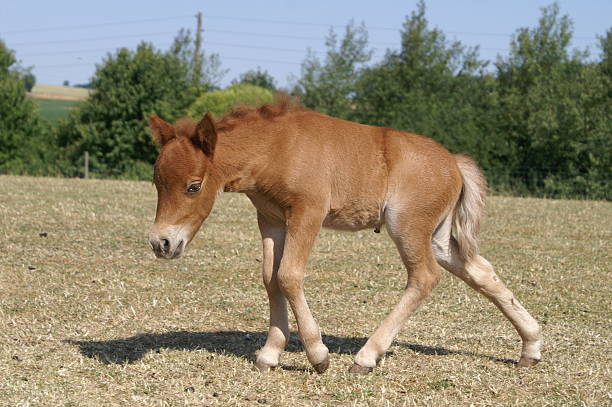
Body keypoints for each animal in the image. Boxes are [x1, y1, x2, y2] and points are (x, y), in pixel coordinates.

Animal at [151, 100, 544, 374]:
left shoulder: (308, 213)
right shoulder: (271, 220)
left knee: (425, 277)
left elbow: (288, 276)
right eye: (157, 182)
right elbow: (270, 279)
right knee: (481, 272)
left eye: (193, 186)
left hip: (408, 226)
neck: (278, 148)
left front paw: (318, 355)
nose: (161, 243)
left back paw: (366, 357)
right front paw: (270, 353)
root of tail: (454, 162)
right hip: (439, 237)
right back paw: (531, 346)